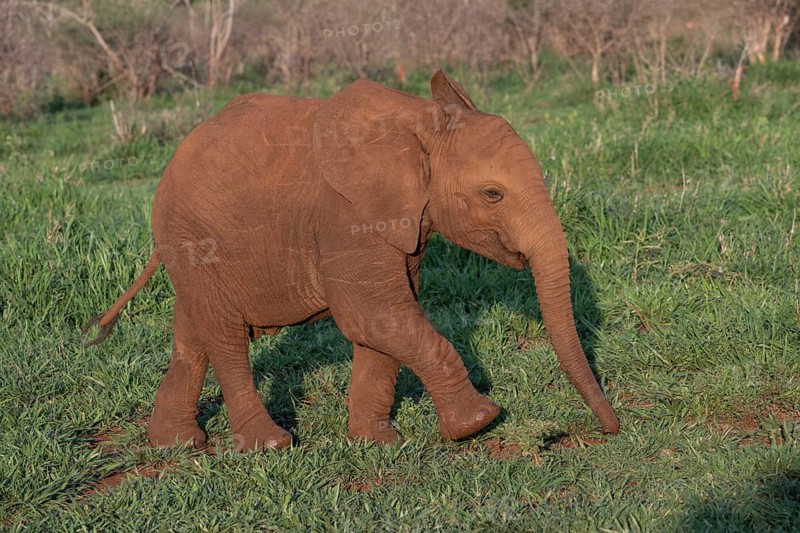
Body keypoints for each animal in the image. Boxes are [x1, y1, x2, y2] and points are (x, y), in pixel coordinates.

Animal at [84, 70, 620, 451]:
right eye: (493, 194)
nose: (610, 430)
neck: (418, 120)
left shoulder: (402, 222)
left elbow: (383, 323)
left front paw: (378, 442)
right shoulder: (346, 215)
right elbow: (373, 314)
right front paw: (478, 423)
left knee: (193, 333)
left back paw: (175, 444)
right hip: (192, 239)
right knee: (225, 337)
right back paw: (269, 446)